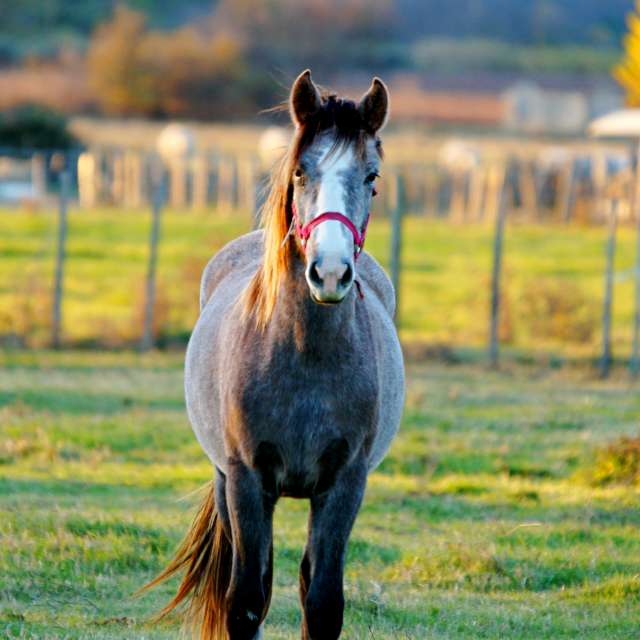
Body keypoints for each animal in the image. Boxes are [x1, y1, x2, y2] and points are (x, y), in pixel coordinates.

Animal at [144, 70, 405, 640]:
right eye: (302, 172)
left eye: (372, 177)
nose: (330, 273)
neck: (304, 358)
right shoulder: (246, 481)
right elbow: (245, 601)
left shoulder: (344, 485)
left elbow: (322, 602)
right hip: (225, 481)